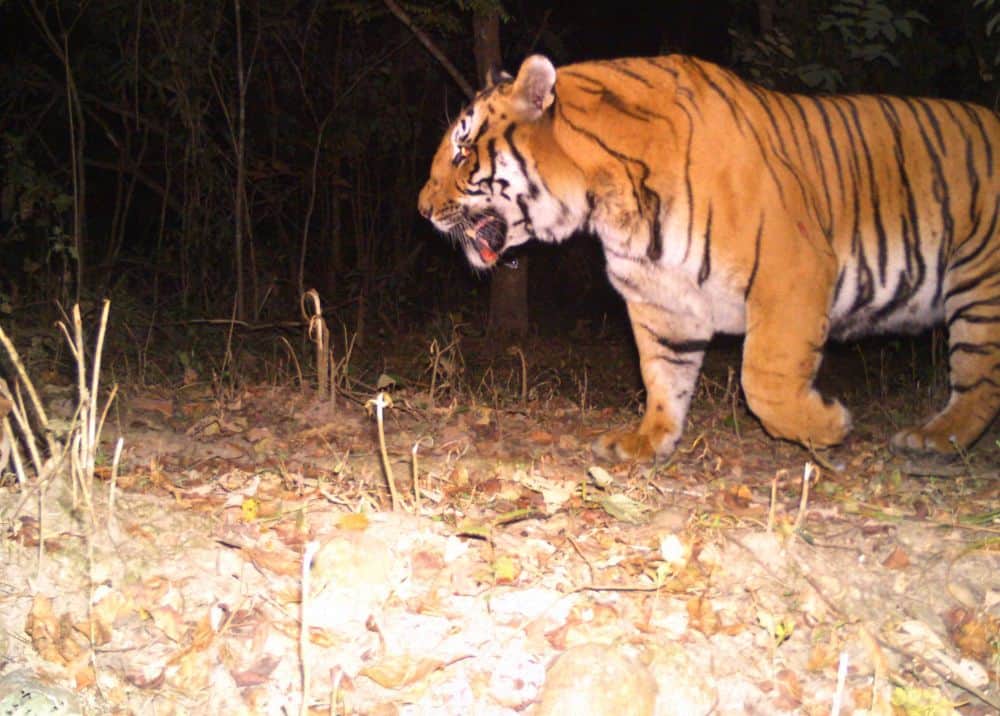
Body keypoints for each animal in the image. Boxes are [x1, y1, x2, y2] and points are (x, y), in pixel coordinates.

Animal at [418, 54, 1000, 462]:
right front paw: (648, 441)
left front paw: (829, 426)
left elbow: (763, 380)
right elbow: (662, 374)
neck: (608, 200)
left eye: (462, 152)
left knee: (978, 379)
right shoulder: (661, 298)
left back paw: (934, 440)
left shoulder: (792, 271)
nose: (421, 209)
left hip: (979, 285)